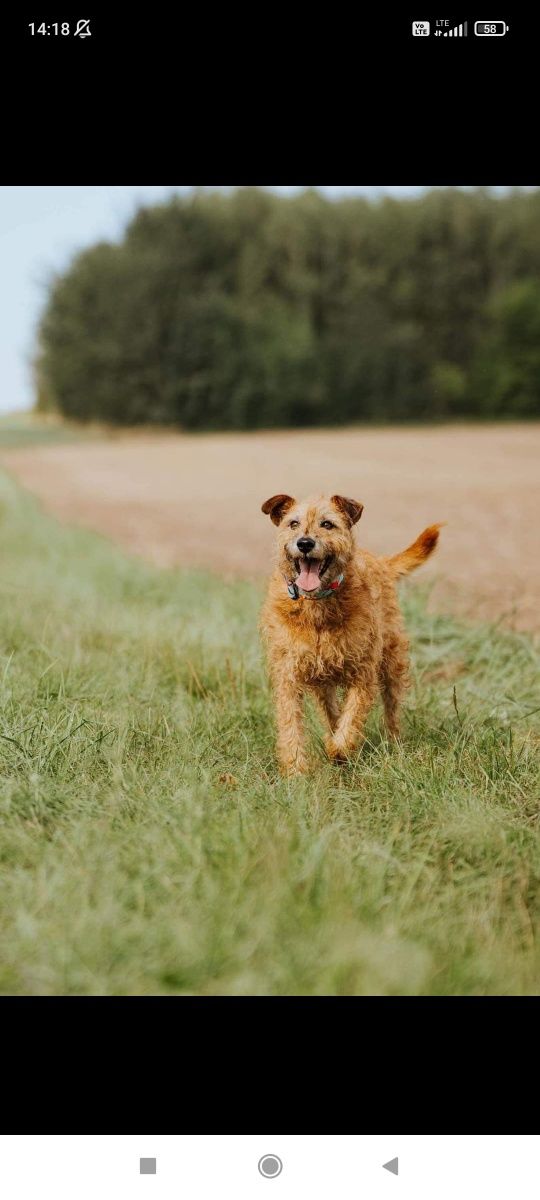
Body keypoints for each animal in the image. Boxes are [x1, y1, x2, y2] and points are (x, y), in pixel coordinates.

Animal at [261, 492, 444, 772]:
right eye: (293, 523)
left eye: (327, 524)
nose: (305, 543)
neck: (316, 606)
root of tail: (380, 561)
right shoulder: (288, 674)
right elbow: (291, 724)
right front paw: (296, 770)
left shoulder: (363, 672)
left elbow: (352, 717)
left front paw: (339, 749)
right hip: (323, 681)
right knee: (330, 710)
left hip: (392, 662)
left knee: (392, 709)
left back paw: (394, 744)